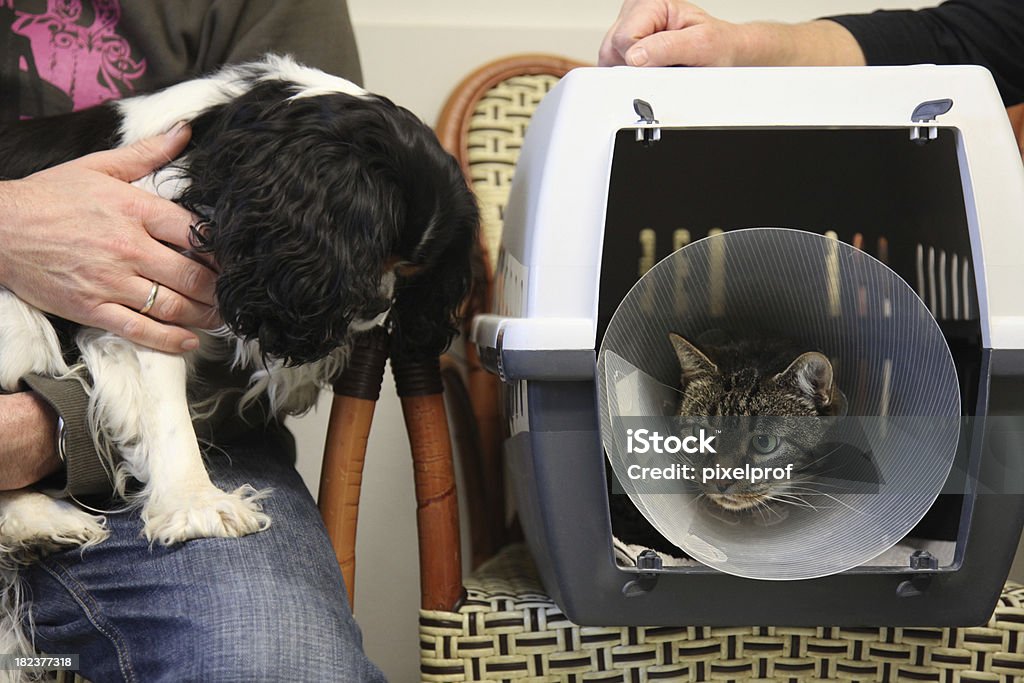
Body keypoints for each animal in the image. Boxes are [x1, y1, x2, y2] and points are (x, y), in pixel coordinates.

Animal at [0, 54, 477, 667]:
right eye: (374, 254)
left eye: (412, 272)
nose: (374, 307)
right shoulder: (134, 284)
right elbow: (165, 406)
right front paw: (197, 504)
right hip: (18, 319)